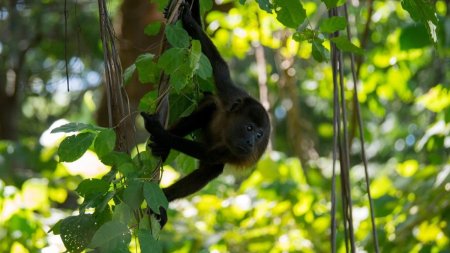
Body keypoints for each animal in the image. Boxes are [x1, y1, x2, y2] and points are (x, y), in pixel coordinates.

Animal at [142, 0, 268, 204]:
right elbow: (217, 65)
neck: (228, 128)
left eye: (259, 135)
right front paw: (189, 20)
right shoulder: (230, 95)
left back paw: (165, 198)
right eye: (249, 128)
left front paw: (158, 131)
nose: (251, 142)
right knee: (207, 110)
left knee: (211, 169)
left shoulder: (236, 152)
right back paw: (163, 149)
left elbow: (209, 155)